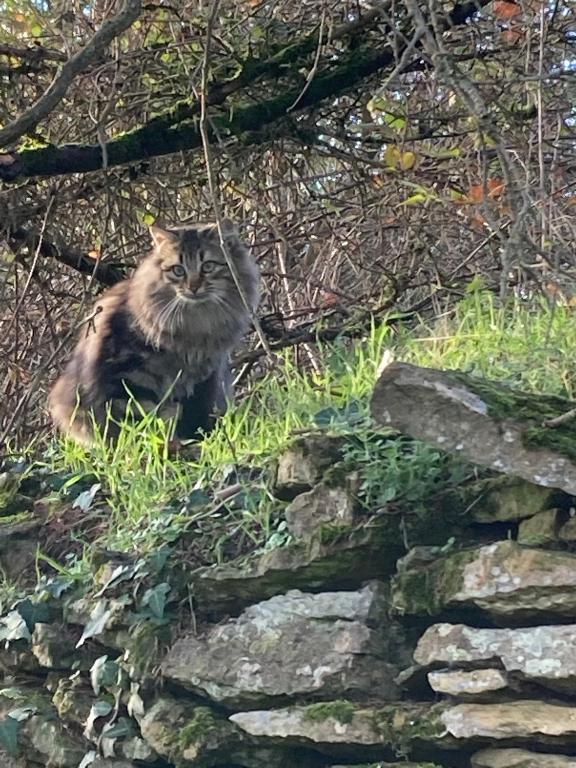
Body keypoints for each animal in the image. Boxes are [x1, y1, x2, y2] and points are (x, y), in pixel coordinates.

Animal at [49, 218, 260, 444]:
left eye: (208, 266)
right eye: (178, 270)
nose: (193, 287)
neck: (196, 325)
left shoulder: (204, 378)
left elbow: (196, 417)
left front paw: (195, 441)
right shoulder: (129, 377)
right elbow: (137, 422)